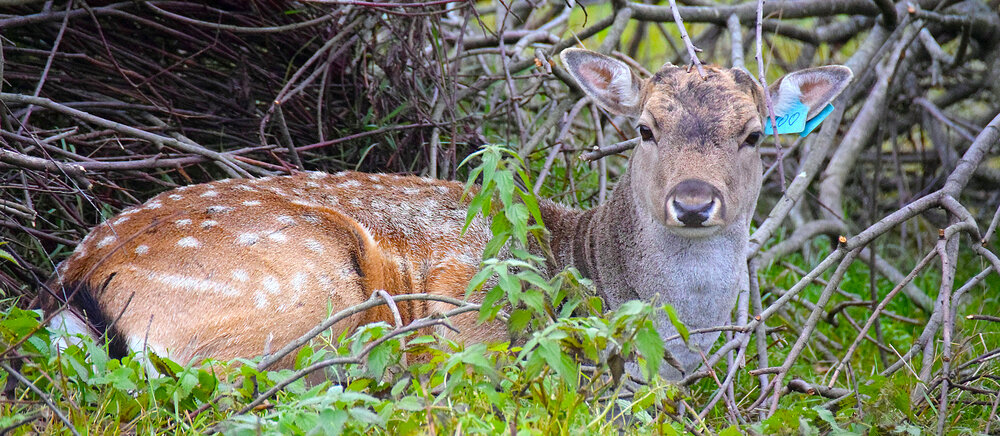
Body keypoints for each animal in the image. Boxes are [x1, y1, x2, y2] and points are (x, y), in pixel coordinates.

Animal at [41, 49, 852, 380]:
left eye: (752, 136)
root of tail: (74, 284)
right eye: (646, 129)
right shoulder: (475, 321)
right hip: (299, 295)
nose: (692, 201)